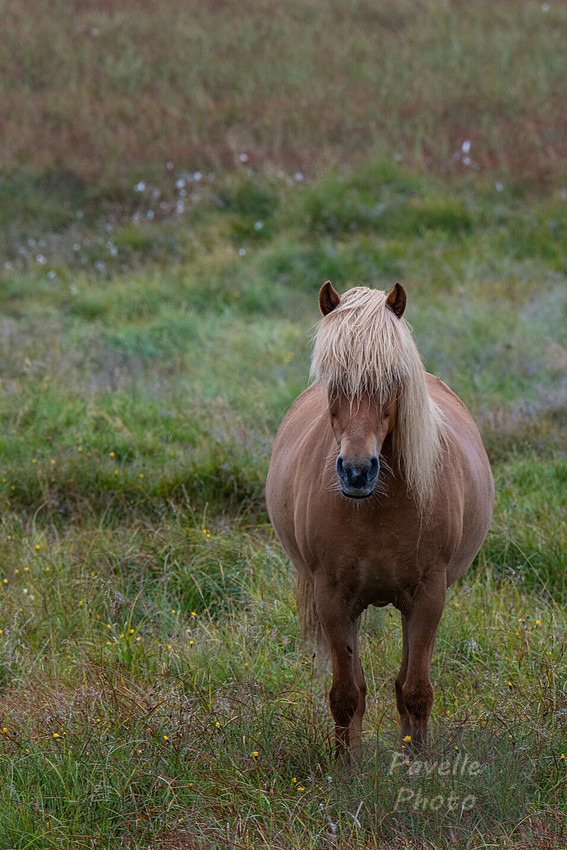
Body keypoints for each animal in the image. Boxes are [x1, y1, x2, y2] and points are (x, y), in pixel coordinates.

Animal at [265, 281, 494, 758]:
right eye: (332, 380)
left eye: (392, 379)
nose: (356, 471)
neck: (376, 510)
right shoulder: (332, 599)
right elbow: (346, 695)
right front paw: (345, 769)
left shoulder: (428, 597)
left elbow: (415, 691)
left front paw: (417, 765)